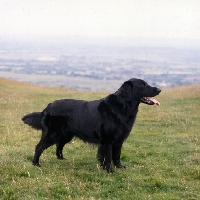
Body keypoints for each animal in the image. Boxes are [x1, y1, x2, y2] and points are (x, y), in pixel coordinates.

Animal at [21, 79, 161, 173]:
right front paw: (109, 170)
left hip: (66, 135)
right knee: (39, 147)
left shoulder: (119, 140)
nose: (159, 89)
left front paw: (119, 167)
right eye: (143, 85)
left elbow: (116, 155)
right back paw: (36, 164)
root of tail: (48, 106)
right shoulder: (107, 140)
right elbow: (108, 157)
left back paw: (61, 159)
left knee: (58, 146)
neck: (122, 107)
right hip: (52, 134)